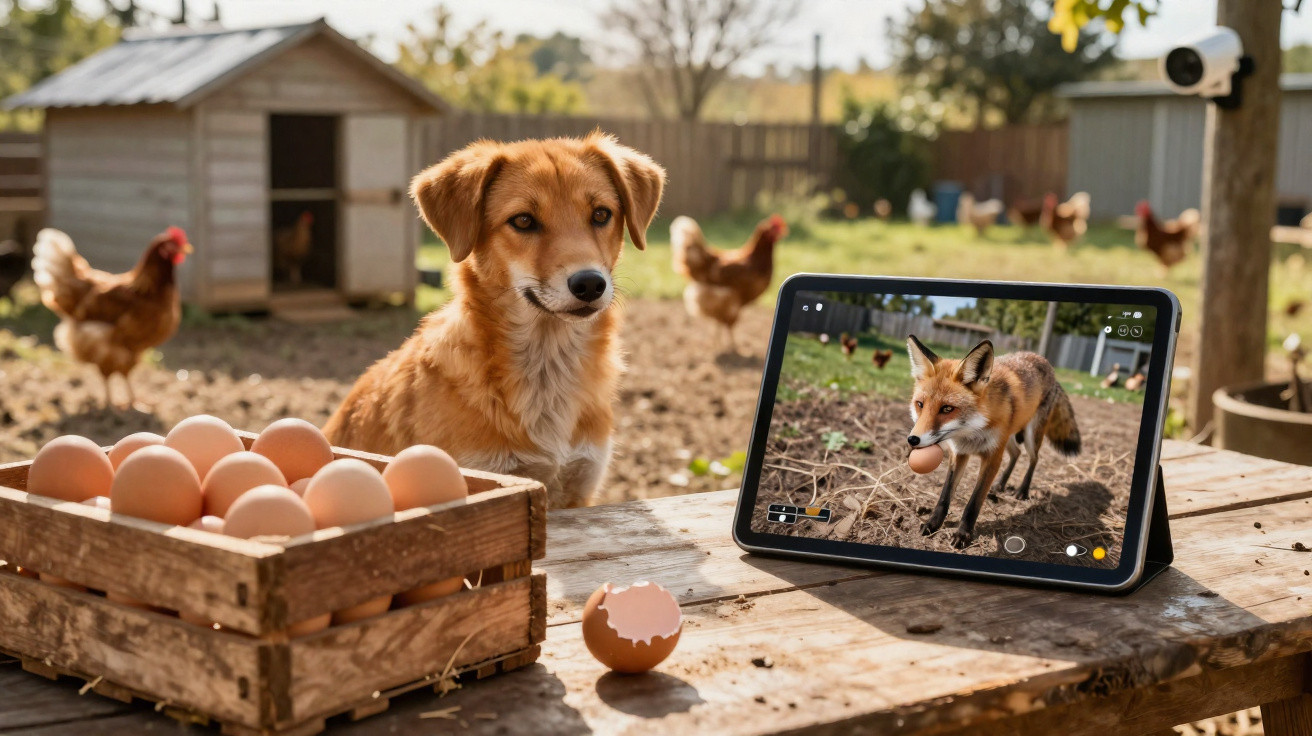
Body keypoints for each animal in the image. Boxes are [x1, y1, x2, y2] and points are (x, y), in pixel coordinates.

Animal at [905, 335, 1082, 548]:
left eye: (947, 409)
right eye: (920, 404)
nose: (912, 440)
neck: (971, 433)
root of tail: (1043, 360)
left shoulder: (993, 457)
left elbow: (973, 502)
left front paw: (963, 534)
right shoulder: (959, 454)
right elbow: (944, 496)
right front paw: (933, 524)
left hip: (1030, 436)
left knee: (1033, 459)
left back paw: (1022, 490)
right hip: (1010, 437)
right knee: (1017, 453)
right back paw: (1000, 485)